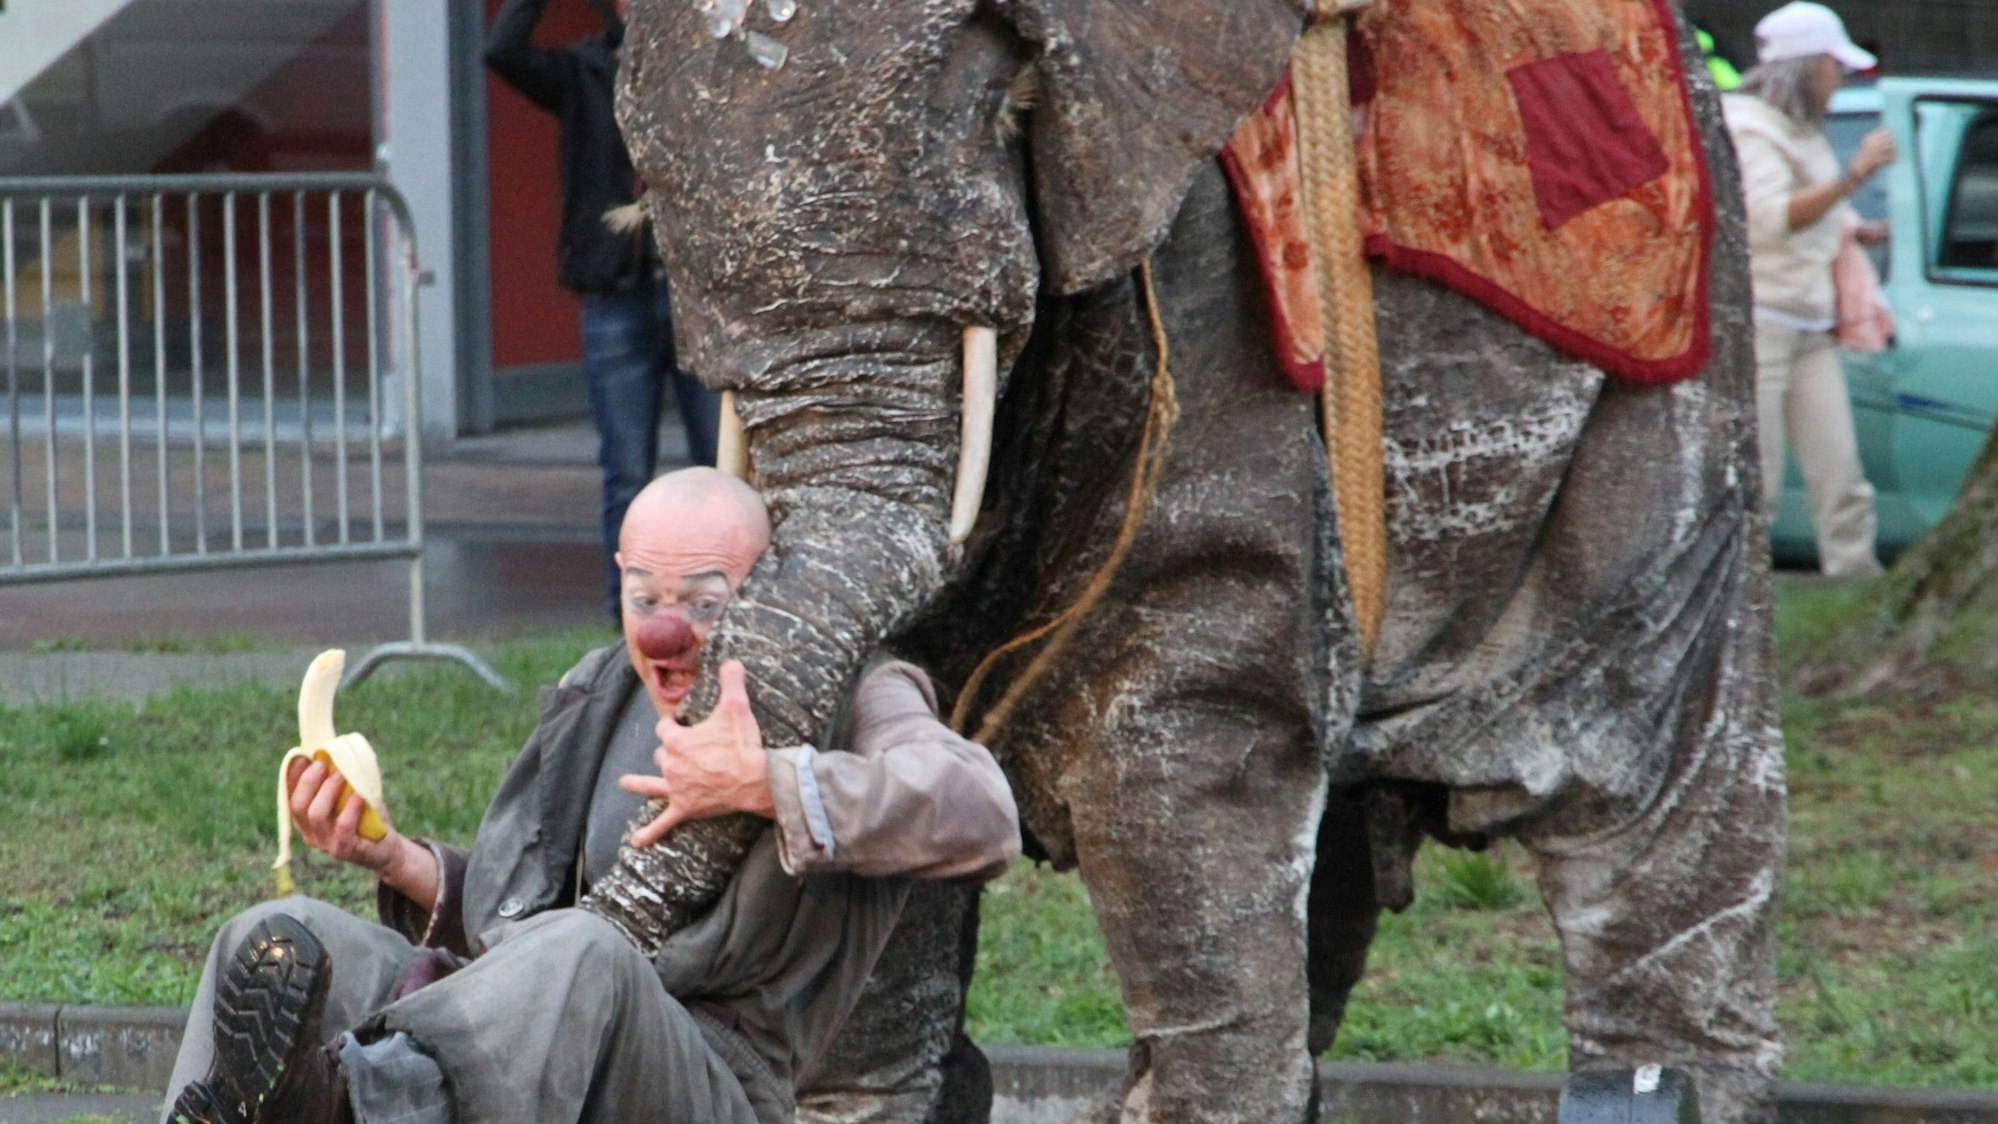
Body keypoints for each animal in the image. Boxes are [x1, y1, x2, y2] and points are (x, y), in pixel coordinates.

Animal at [579, 1, 1786, 1122]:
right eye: (654, 192)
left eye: (990, 107)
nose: (591, 921)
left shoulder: (1218, 330)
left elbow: (1185, 761)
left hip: (1684, 393)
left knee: (1656, 818)